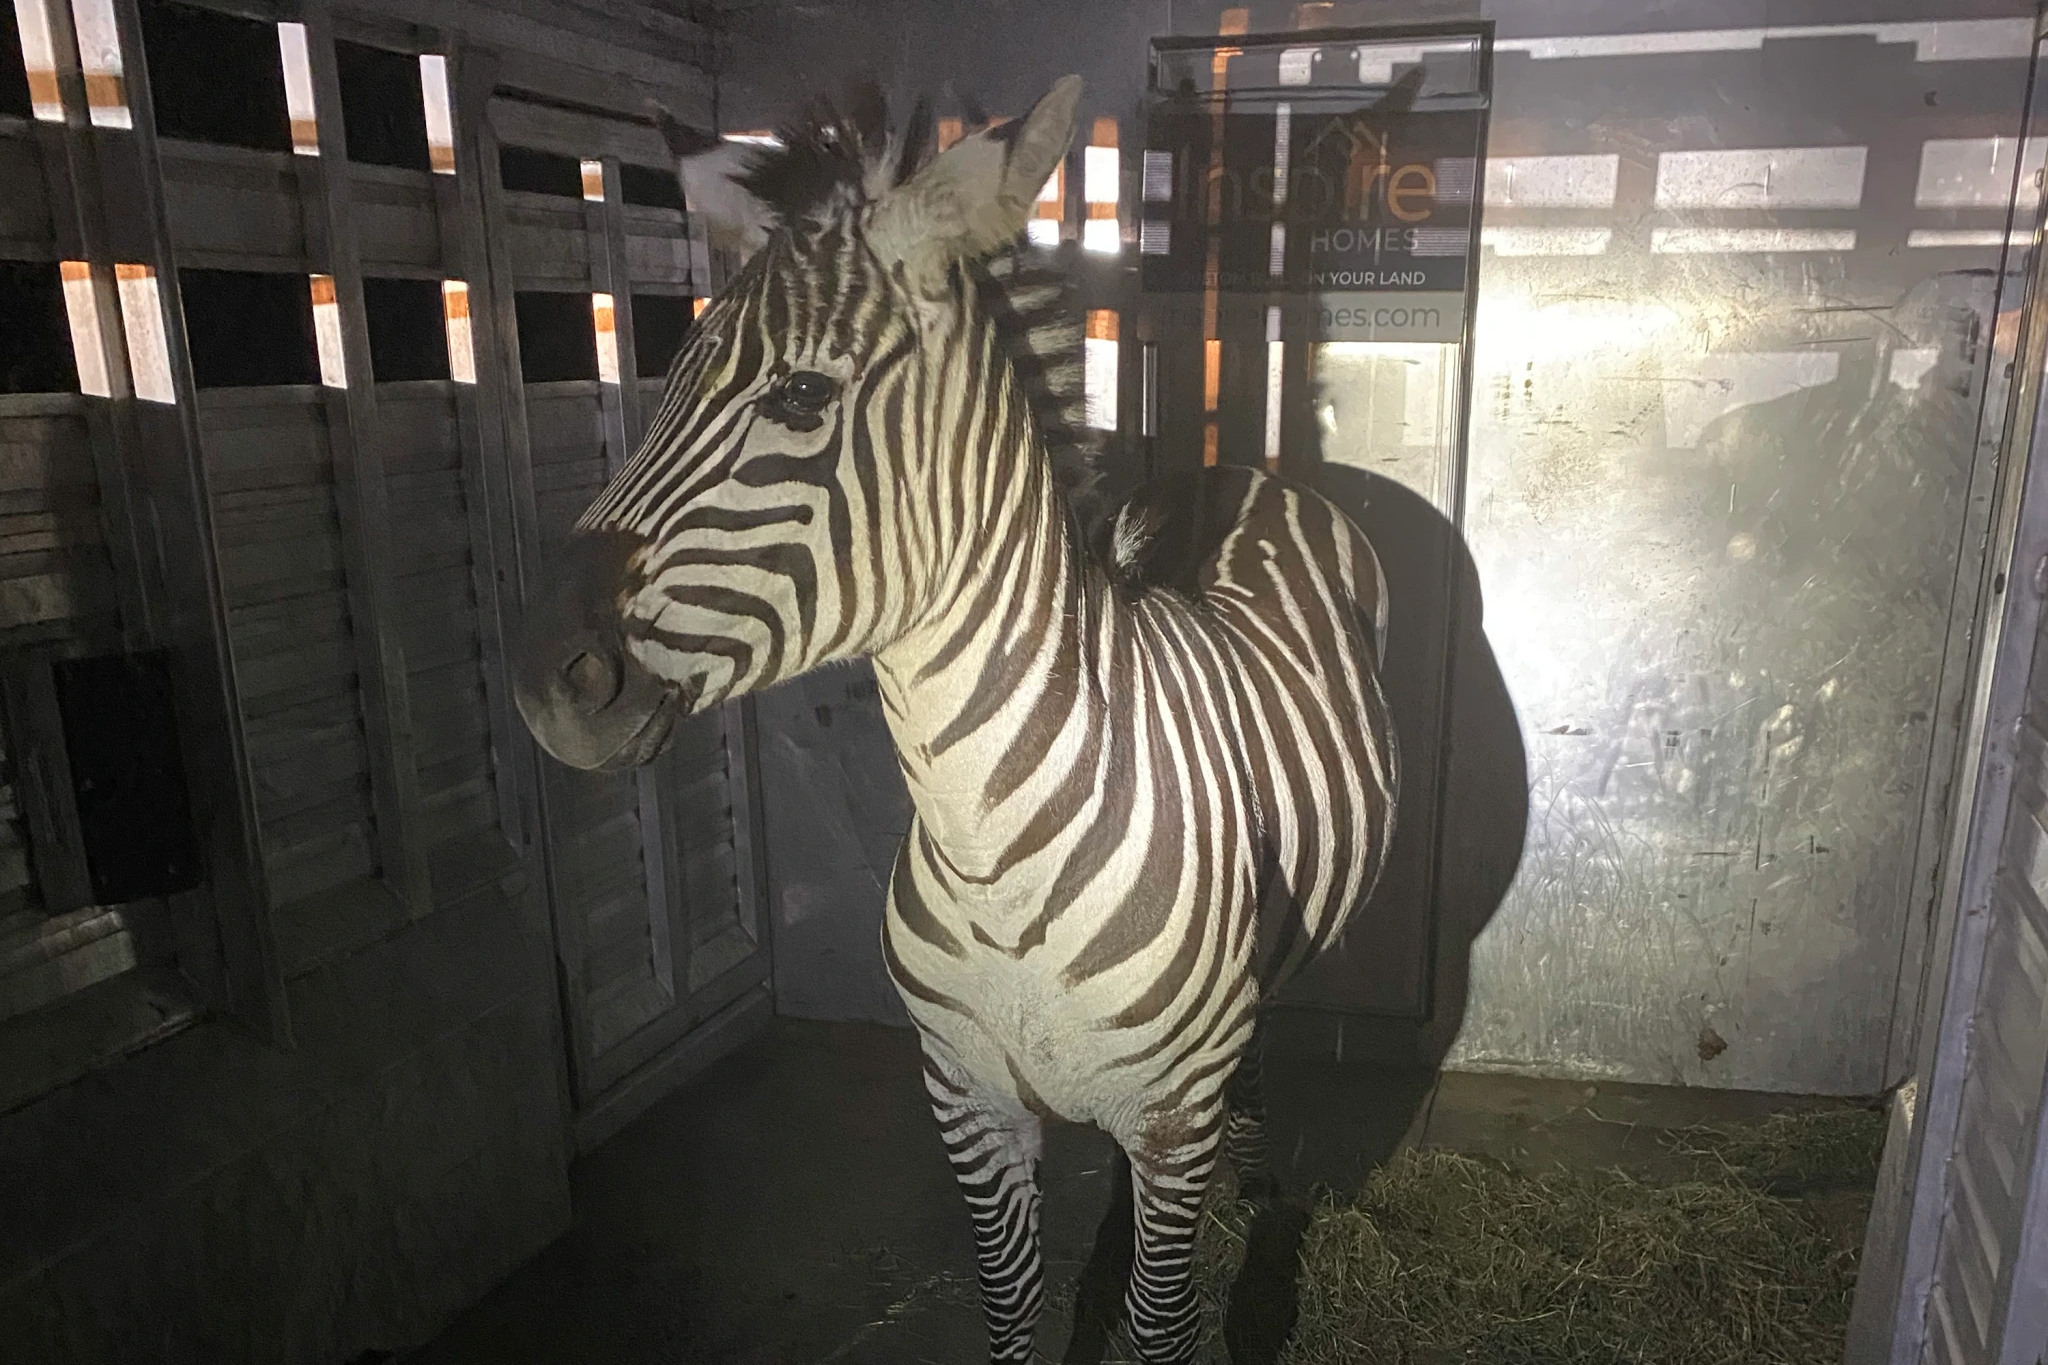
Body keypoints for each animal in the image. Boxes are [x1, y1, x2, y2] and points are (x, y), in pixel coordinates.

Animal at [513, 75, 1398, 1364]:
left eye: (799, 395)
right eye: (670, 378)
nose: (544, 680)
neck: (994, 856)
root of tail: (1231, 472)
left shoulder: (1169, 1112)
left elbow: (1159, 1330)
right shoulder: (966, 1101)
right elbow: (1013, 1315)